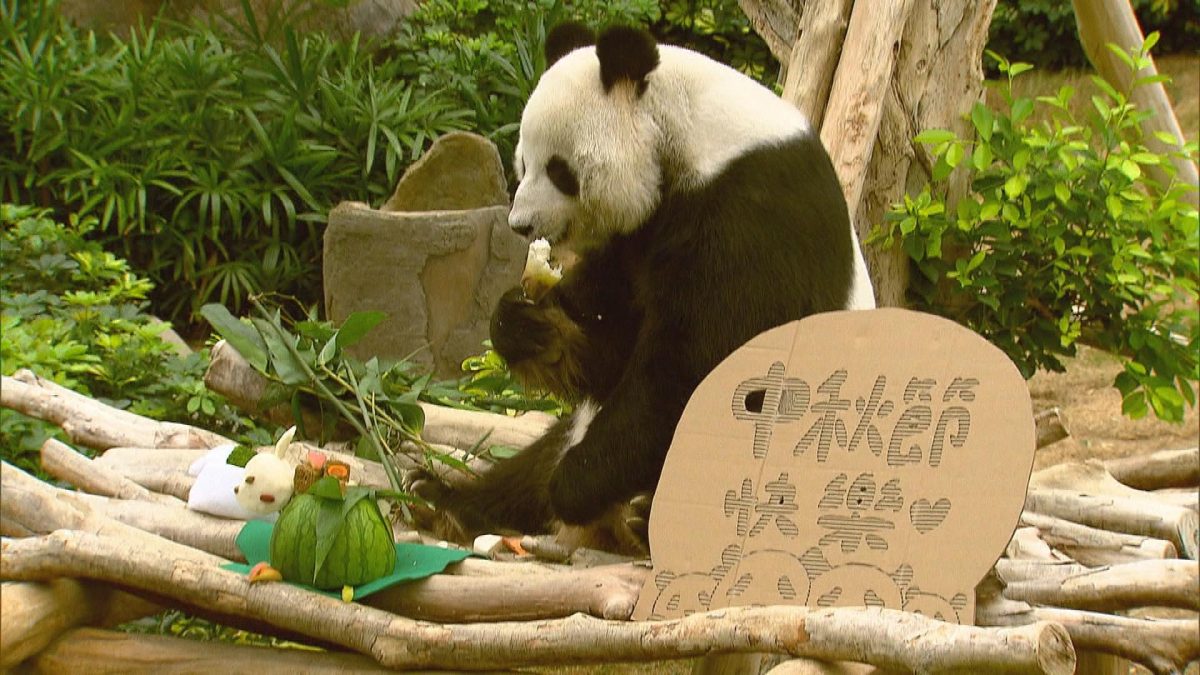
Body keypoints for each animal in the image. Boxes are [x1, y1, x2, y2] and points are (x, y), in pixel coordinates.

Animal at [410, 23, 875, 553]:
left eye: (559, 170)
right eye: (523, 163)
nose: (521, 224)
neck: (689, 130)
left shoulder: (754, 213)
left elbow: (698, 365)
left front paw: (575, 485)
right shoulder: (642, 230)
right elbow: (614, 345)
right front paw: (530, 326)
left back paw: (638, 515)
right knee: (540, 454)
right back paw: (443, 500)